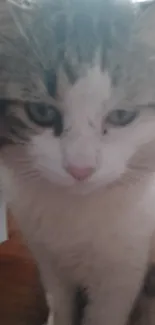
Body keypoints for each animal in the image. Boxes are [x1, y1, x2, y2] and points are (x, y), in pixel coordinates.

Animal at [1, 0, 155, 324]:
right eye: (41, 112)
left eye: (122, 115)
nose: (80, 169)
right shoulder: (47, 258)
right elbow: (61, 303)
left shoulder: (122, 274)